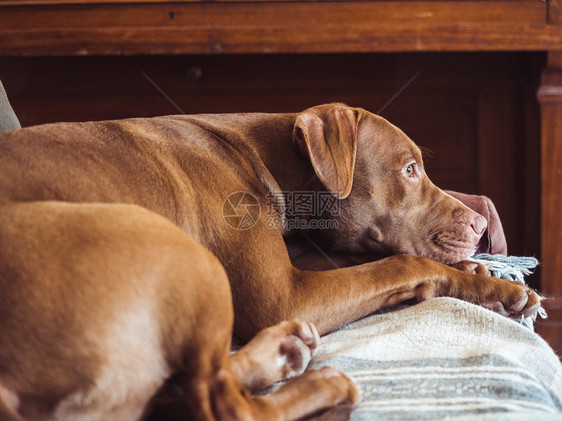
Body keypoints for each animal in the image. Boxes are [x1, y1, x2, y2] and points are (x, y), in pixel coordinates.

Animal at [0, 104, 540, 416]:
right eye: (409, 170)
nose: (480, 225)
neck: (267, 156)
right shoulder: (286, 293)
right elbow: (402, 266)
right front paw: (501, 287)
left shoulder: (302, 266)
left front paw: (480, 275)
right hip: (172, 249)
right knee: (219, 400)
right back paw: (320, 383)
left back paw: (279, 352)